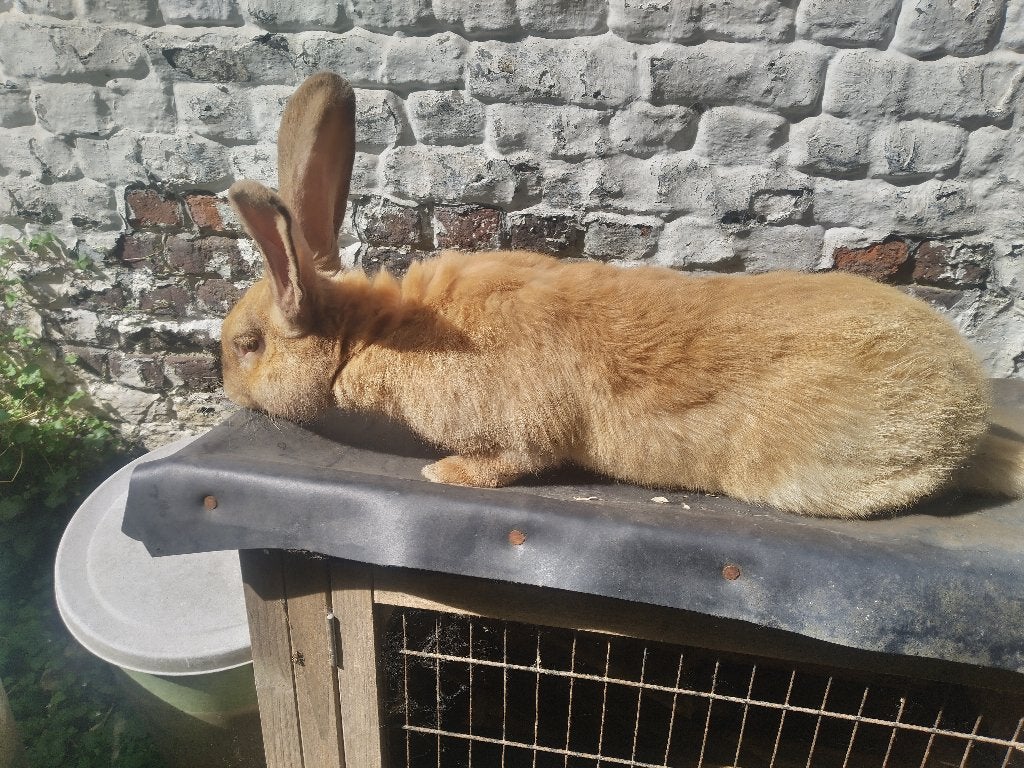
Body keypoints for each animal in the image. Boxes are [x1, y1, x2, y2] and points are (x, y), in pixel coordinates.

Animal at [219, 72, 1024, 519]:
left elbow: (511, 461)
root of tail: (968, 412)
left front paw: (443, 472)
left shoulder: (517, 435)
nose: (228, 388)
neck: (377, 332)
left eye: (248, 346)